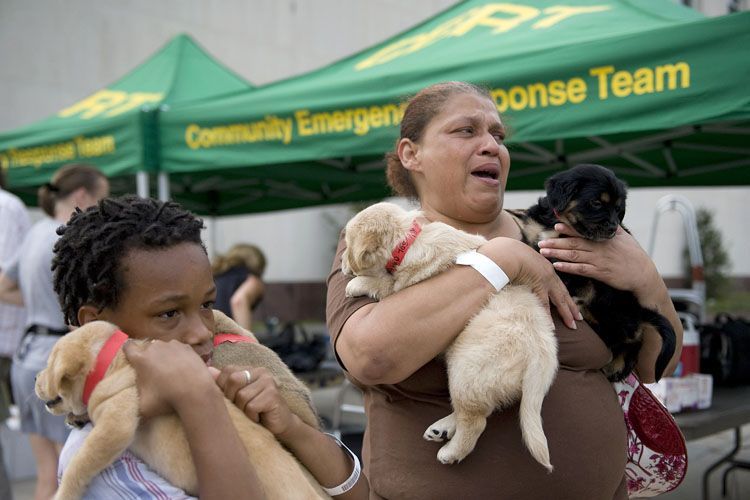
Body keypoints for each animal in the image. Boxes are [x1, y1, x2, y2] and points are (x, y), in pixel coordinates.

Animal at [340, 201, 560, 470]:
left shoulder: (402, 288)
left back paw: (451, 452)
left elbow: (383, 283)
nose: (342, 262)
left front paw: (357, 284)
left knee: (476, 420)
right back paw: (442, 429)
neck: (408, 240)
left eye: (348, 244)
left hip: (467, 370)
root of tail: (541, 354)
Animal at [512, 166, 676, 380]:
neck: (559, 223)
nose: (613, 228)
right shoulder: (534, 236)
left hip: (613, 305)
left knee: (632, 335)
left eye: (618, 209)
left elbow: (571, 279)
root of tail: (639, 311)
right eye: (596, 202)